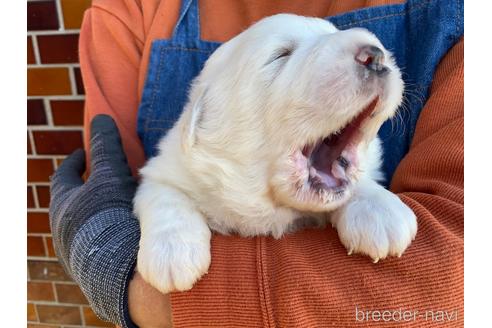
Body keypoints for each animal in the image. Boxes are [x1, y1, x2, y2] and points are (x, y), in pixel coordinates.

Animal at [133, 14, 418, 294]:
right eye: (281, 55)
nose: (375, 55)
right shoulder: (162, 169)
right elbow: (167, 197)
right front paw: (172, 253)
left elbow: (359, 180)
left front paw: (381, 211)